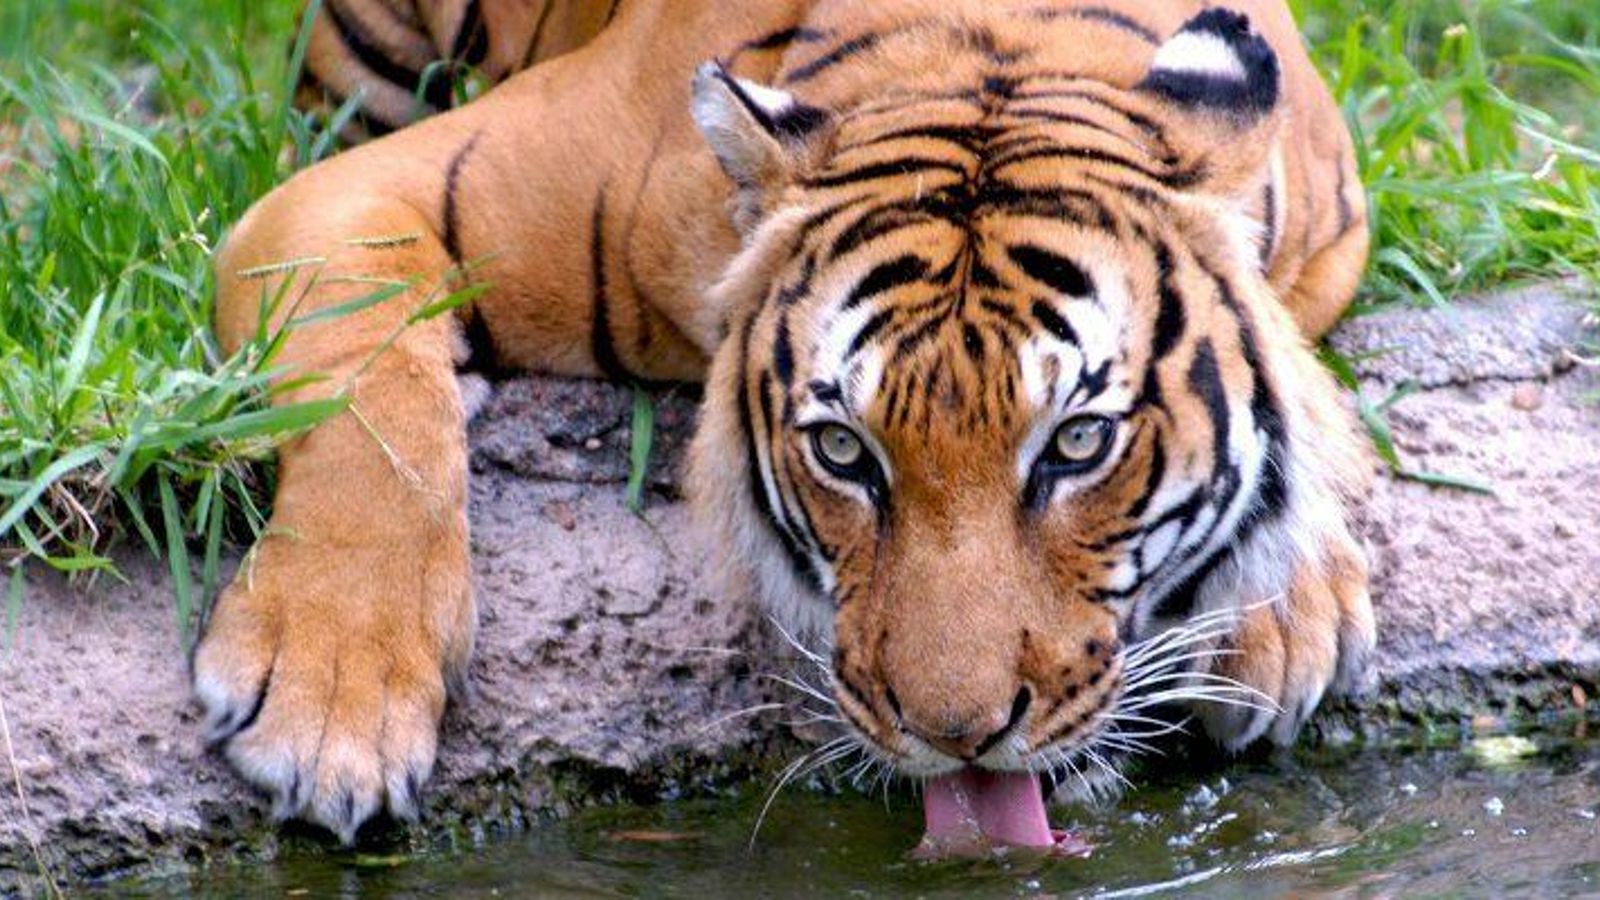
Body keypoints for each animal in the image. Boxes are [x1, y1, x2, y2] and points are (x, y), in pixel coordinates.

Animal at [197, 0, 1376, 847]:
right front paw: (332, 705)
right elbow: (369, 410)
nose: (958, 739)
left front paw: (1283, 614)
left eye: (1078, 443)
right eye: (843, 452)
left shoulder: (1331, 232)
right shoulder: (354, 193)